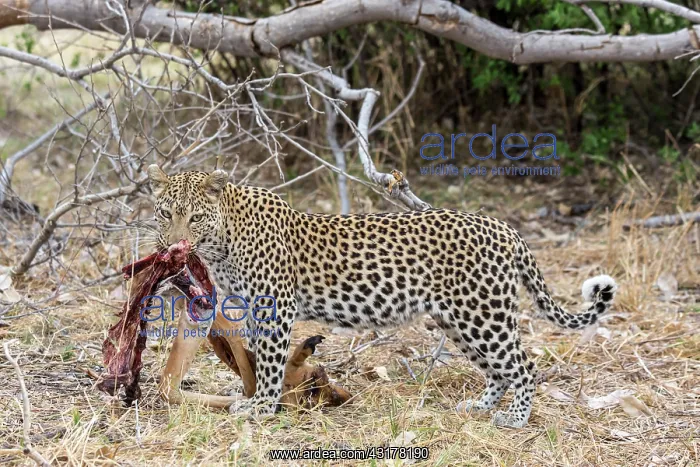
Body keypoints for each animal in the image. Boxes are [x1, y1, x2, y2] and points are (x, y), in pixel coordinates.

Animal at [147, 165, 617, 428]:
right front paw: (253, 397)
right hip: (459, 319)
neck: (222, 242)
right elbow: (253, 354)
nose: (174, 244)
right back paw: (478, 407)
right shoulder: (252, 305)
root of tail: (506, 228)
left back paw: (514, 419)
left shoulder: (275, 305)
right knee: (498, 370)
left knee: (524, 365)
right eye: (165, 213)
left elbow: (270, 359)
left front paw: (262, 406)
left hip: (483, 314)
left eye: (194, 216)